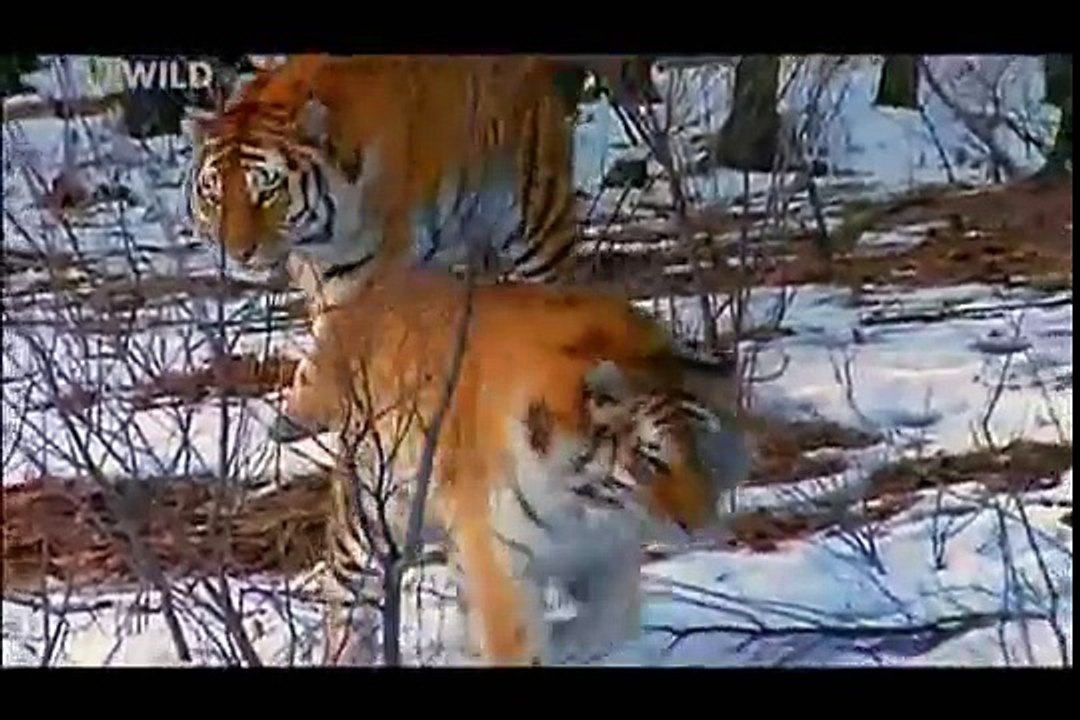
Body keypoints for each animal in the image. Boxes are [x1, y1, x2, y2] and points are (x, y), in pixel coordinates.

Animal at [277, 259, 748, 666]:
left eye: (708, 453)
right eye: (652, 459)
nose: (699, 528)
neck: (591, 505)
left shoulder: (608, 553)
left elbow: (614, 620)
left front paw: (569, 642)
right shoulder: (500, 562)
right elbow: (519, 641)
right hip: (371, 514)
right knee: (347, 596)